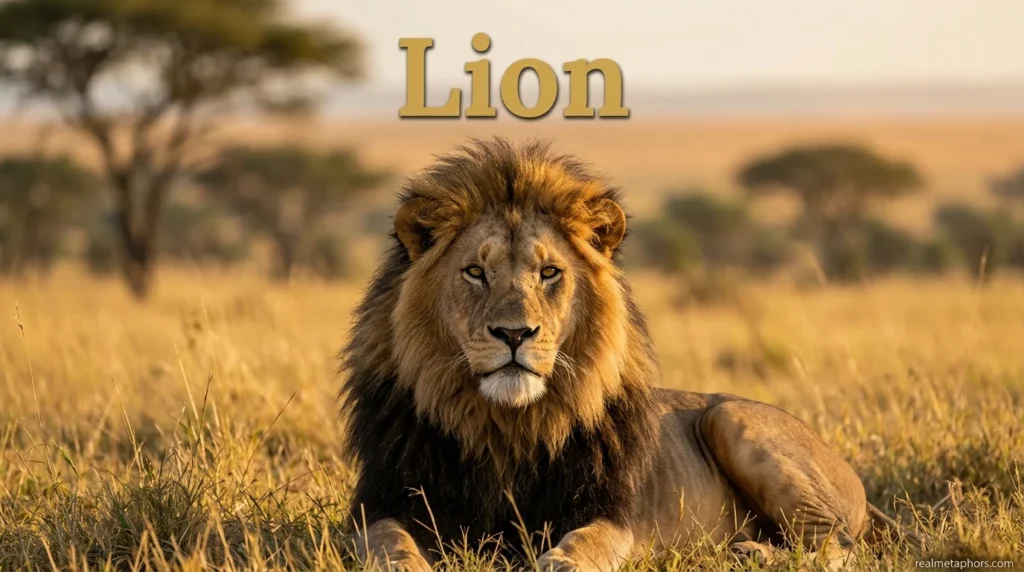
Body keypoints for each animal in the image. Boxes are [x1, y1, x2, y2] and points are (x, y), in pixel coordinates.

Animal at [339, 138, 911, 571]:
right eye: (475, 272)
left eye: (550, 272)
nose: (514, 334)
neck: (506, 426)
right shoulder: (384, 500)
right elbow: (388, 540)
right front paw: (406, 564)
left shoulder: (609, 510)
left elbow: (587, 541)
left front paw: (561, 563)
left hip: (731, 418)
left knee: (838, 546)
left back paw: (752, 553)